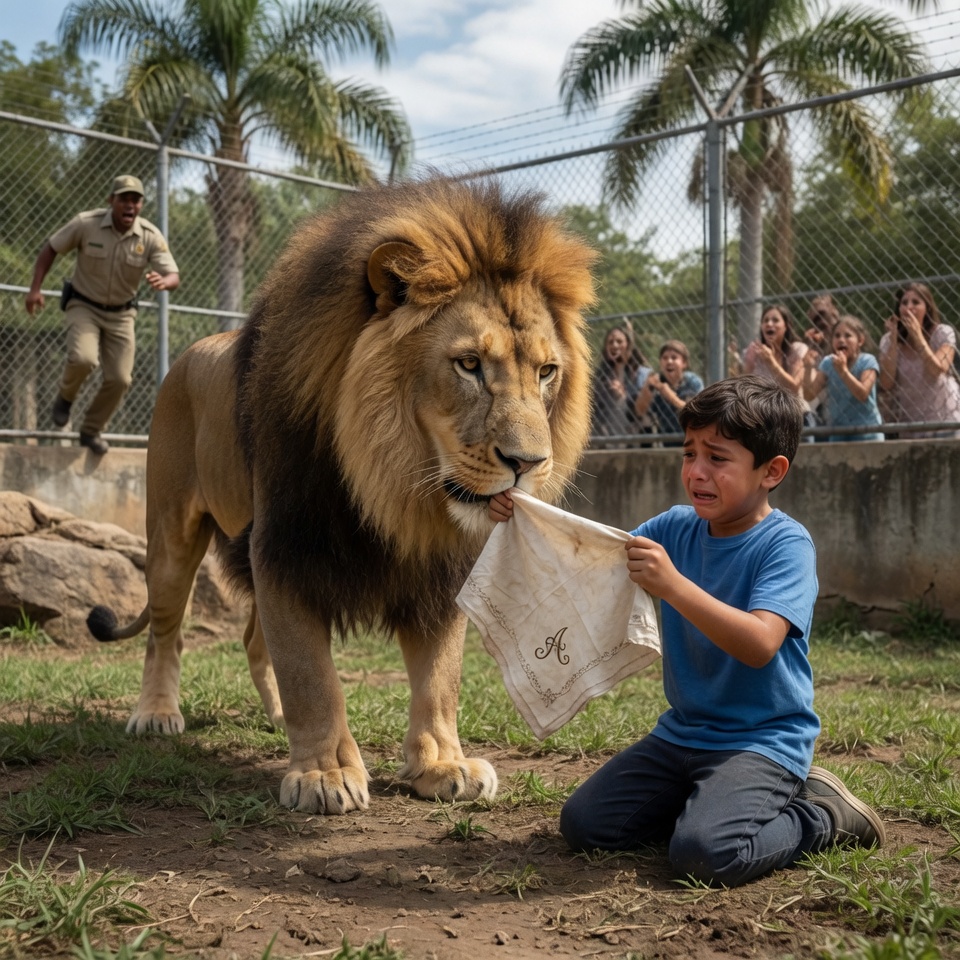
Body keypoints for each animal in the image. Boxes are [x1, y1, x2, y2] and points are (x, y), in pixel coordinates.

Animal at [88, 175, 597, 815]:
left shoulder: (439, 569)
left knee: (253, 638)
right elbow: (311, 674)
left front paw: (442, 764)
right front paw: (324, 774)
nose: (528, 464)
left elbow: (440, 677)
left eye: (547, 372)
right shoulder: (286, 547)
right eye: (469, 364)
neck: (395, 482)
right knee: (165, 632)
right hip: (172, 535)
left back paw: (277, 718)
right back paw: (156, 715)